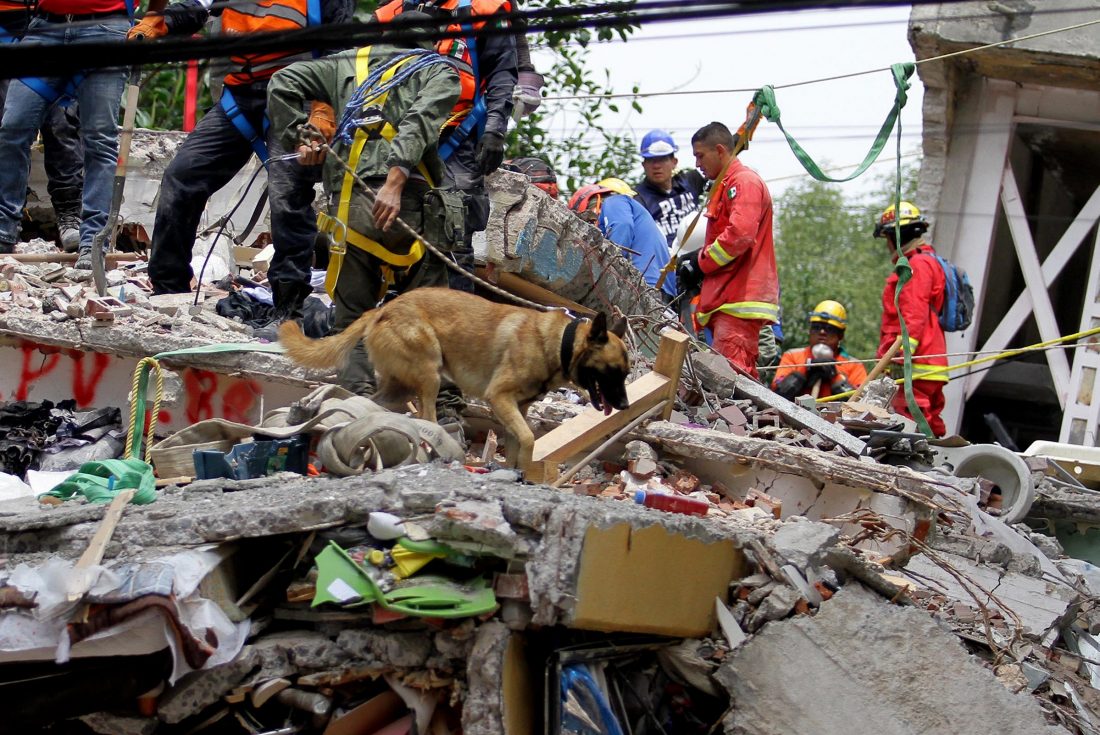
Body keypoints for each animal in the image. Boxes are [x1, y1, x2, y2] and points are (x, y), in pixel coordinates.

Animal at [279, 288, 633, 468]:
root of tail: (383, 309)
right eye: (612, 371)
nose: (626, 406)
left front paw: (515, 473)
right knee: (426, 417)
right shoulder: (499, 399)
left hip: (398, 388)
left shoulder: (516, 410)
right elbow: (530, 438)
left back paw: (312, 404)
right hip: (430, 374)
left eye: (627, 374)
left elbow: (519, 444)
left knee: (352, 397)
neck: (559, 343)